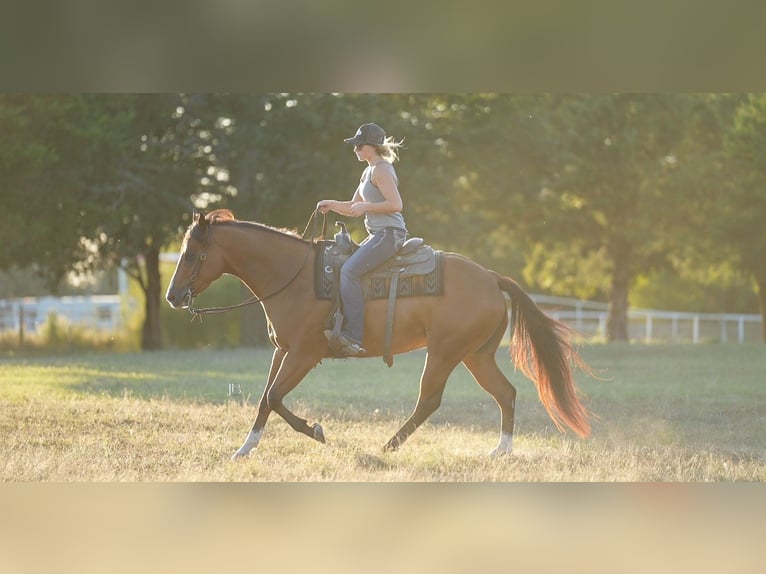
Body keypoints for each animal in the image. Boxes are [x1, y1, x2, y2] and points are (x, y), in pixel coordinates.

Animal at [165, 209, 592, 459]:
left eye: (192, 254)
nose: (172, 296)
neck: (294, 275)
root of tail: (491, 277)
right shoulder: (282, 351)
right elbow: (264, 400)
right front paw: (245, 448)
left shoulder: (304, 354)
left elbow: (274, 397)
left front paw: (316, 430)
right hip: (477, 355)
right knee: (506, 393)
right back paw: (499, 451)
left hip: (445, 353)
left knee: (430, 400)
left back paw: (389, 445)